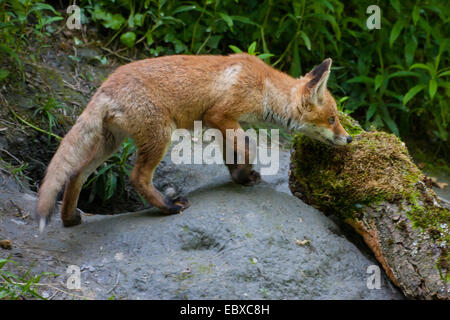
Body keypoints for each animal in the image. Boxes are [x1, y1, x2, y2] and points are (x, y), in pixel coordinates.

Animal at [35, 53, 352, 231]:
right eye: (332, 119)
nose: (349, 138)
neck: (264, 88)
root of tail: (105, 86)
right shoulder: (220, 114)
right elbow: (249, 147)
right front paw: (246, 171)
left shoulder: (220, 123)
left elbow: (232, 154)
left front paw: (240, 177)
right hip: (159, 136)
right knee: (137, 177)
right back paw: (167, 206)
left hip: (111, 144)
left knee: (75, 173)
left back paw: (69, 219)